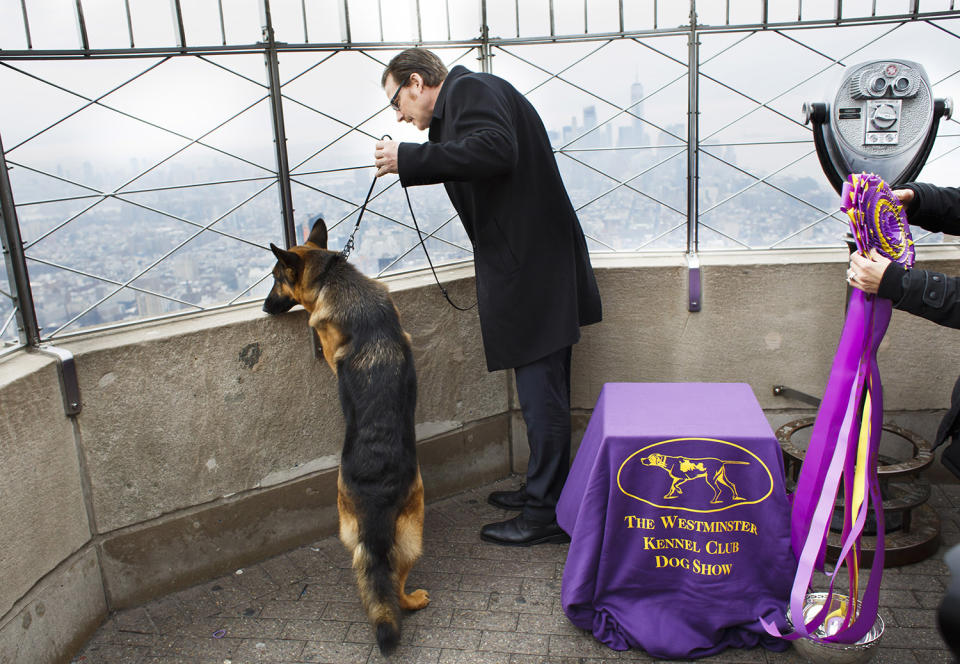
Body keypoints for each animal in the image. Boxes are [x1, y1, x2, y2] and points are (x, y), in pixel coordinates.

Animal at [262, 218, 428, 652]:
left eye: (276, 279)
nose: (264, 308)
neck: (333, 276)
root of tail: (375, 493)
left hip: (404, 526)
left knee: (393, 588)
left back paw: (412, 601)